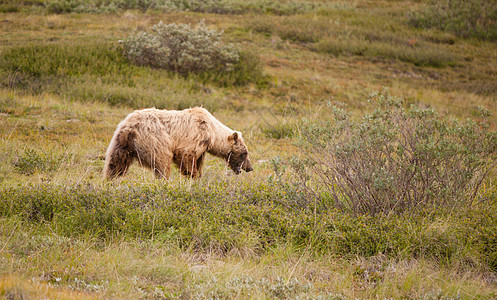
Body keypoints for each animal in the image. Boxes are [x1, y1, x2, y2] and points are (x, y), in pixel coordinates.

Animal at [103, 107, 252, 179]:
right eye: (244, 153)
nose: (249, 168)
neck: (213, 133)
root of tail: (129, 129)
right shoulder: (197, 135)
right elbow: (186, 155)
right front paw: (193, 175)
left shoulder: (203, 148)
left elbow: (198, 160)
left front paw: (198, 176)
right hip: (154, 139)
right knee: (163, 162)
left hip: (120, 144)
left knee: (115, 164)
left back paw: (110, 179)